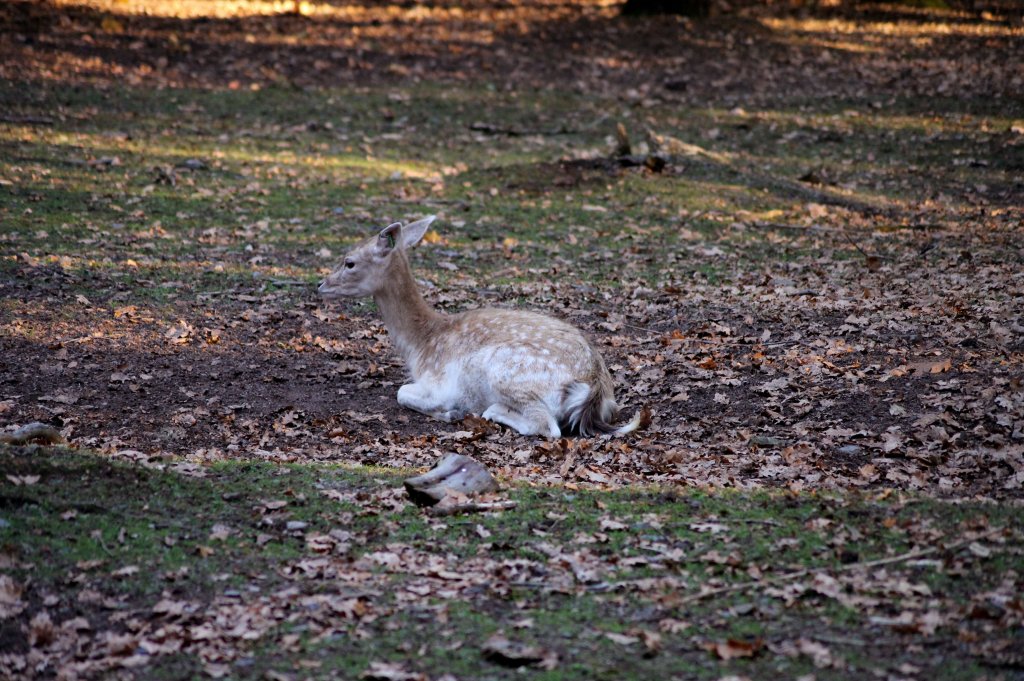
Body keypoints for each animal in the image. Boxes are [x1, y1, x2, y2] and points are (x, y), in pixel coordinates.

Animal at [315, 219, 643, 440]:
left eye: (349, 262)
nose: (320, 285)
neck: (421, 345)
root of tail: (595, 388)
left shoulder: (440, 384)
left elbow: (402, 392)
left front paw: (452, 412)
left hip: (505, 370)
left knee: (547, 426)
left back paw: (492, 411)